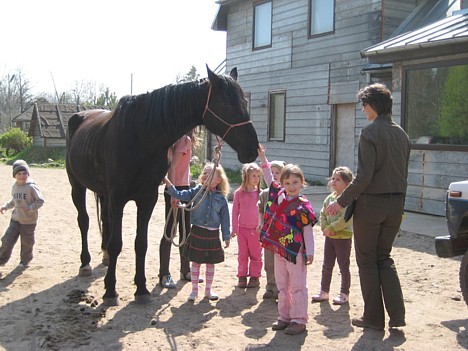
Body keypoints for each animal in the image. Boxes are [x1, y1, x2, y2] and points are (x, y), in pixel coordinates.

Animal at [65, 66, 260, 306]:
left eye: (244, 101)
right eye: (227, 104)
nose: (252, 149)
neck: (140, 136)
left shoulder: (147, 198)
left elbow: (141, 243)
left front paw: (141, 288)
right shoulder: (118, 198)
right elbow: (117, 243)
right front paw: (111, 291)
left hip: (103, 194)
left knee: (106, 224)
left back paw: (105, 257)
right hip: (77, 186)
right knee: (84, 221)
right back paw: (86, 263)